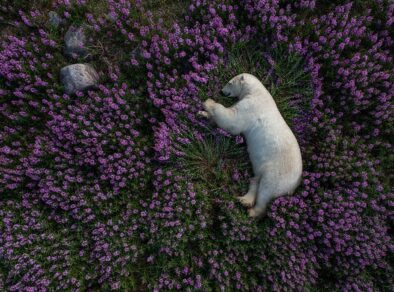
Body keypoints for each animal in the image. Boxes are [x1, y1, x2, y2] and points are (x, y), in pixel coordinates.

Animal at [199, 73, 304, 218]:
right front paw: (203, 114)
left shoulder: (251, 107)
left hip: (279, 173)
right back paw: (244, 200)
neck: (257, 92)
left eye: (230, 83)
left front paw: (208, 102)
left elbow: (232, 120)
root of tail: (295, 185)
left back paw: (252, 211)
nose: (221, 91)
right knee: (256, 180)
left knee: (266, 189)